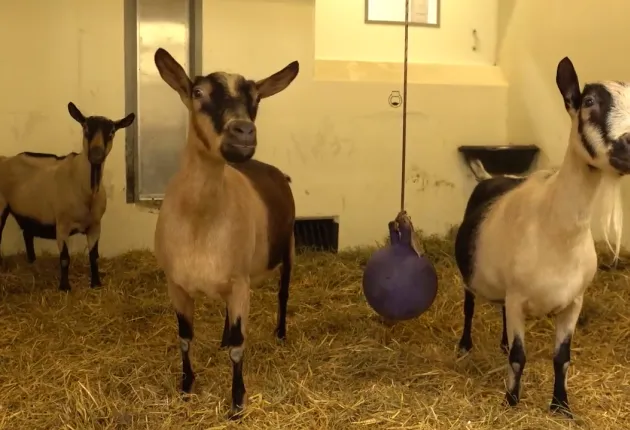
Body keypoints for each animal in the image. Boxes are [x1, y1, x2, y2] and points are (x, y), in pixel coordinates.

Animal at [0, 101, 137, 288]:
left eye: (112, 132)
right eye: (85, 128)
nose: (96, 155)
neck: (85, 191)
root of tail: (5, 159)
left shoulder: (95, 225)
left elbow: (94, 257)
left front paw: (96, 283)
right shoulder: (62, 224)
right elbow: (65, 258)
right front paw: (64, 287)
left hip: (28, 212)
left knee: (27, 234)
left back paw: (32, 263)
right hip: (1, 205)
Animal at [456, 55, 628, 418]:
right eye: (589, 102)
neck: (558, 232)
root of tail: (492, 177)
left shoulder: (572, 303)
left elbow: (561, 358)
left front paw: (561, 405)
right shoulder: (518, 297)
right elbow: (519, 357)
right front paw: (511, 400)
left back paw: (501, 341)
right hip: (472, 279)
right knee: (469, 307)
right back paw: (464, 345)